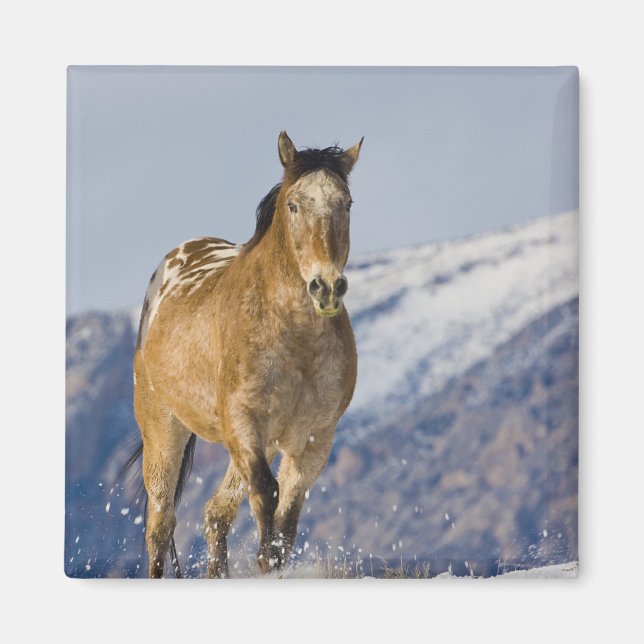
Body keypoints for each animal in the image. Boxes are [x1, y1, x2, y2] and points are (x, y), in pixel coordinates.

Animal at [132, 131, 362, 578]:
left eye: (346, 203)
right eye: (293, 204)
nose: (327, 287)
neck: (297, 343)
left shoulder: (314, 436)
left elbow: (287, 513)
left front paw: (273, 561)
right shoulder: (243, 421)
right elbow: (266, 491)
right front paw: (264, 558)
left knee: (215, 513)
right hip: (164, 429)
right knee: (161, 524)